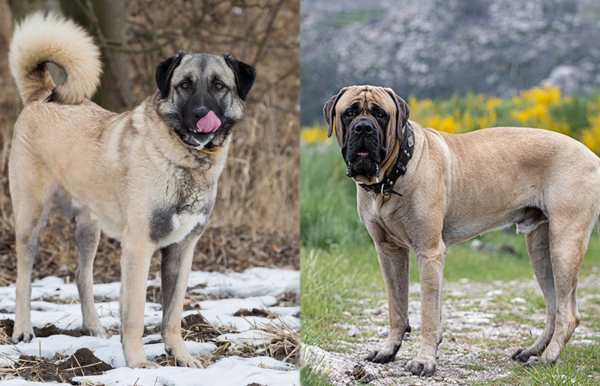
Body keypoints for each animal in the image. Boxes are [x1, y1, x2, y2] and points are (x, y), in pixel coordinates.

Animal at [9, 12, 253, 368]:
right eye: (184, 85)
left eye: (219, 86)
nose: (200, 115)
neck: (182, 160)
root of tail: (43, 95)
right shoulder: (138, 248)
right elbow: (135, 315)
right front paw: (138, 363)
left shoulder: (182, 250)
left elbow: (173, 315)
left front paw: (180, 357)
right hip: (31, 219)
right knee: (23, 278)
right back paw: (23, 330)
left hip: (89, 228)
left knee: (83, 277)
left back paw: (93, 327)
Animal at [324, 85, 600, 376]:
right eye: (349, 113)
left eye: (380, 114)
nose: (363, 128)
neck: (392, 176)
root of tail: (593, 156)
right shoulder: (389, 251)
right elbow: (396, 307)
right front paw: (389, 350)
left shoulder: (429, 252)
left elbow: (428, 312)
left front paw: (424, 360)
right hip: (540, 247)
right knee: (554, 305)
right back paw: (532, 350)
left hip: (564, 243)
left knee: (568, 313)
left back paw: (548, 357)